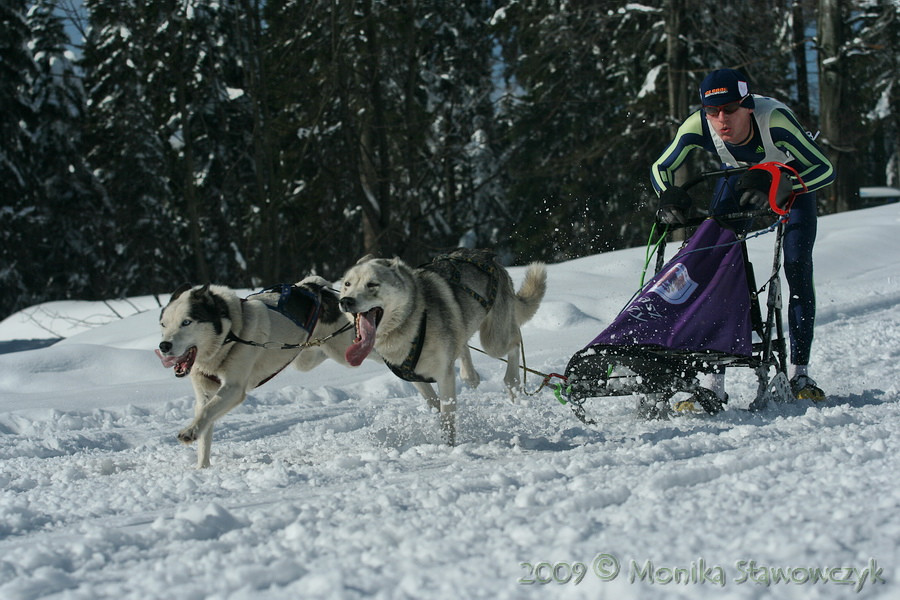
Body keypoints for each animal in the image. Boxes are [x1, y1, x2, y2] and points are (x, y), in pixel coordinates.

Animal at [158, 276, 358, 468]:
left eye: (186, 322)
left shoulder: (233, 388)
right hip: (305, 359)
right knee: (319, 354)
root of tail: (315, 287)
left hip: (342, 351)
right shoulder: (205, 394)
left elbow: (208, 411)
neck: (230, 335)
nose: (163, 346)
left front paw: (189, 432)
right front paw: (202, 467)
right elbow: (204, 422)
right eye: (163, 324)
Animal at [340, 250, 544, 446]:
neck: (412, 322)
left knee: (515, 341)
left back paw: (512, 382)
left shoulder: (444, 375)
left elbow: (446, 415)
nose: (345, 301)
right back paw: (471, 375)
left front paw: (448, 446)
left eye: (372, 284)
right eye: (347, 284)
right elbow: (434, 403)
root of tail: (490, 258)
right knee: (464, 345)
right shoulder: (415, 377)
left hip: (494, 342)